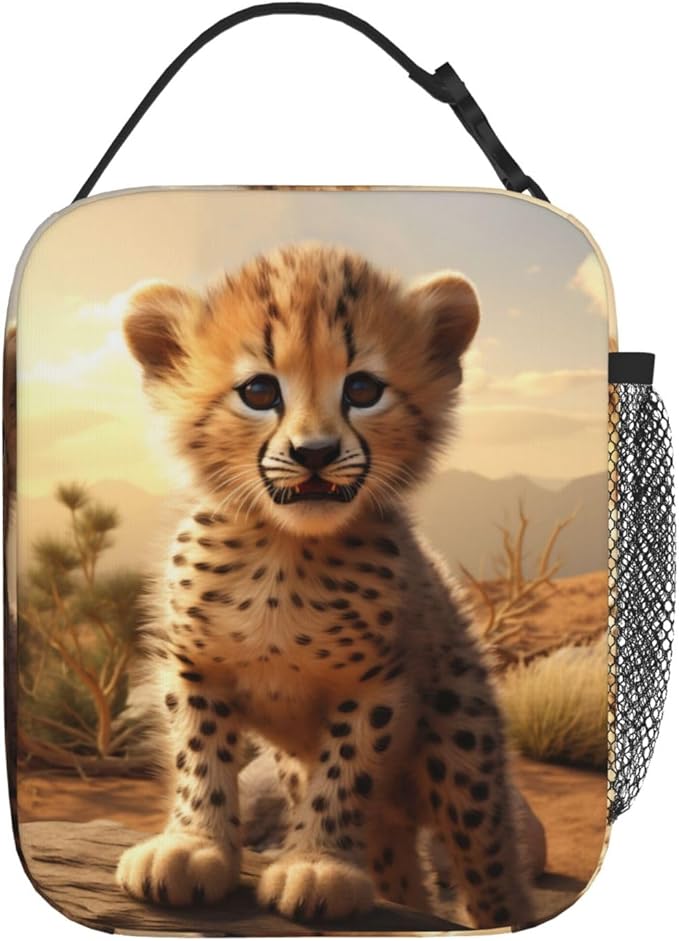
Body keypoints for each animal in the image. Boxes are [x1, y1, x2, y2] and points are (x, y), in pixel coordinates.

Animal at [115, 243, 534, 929]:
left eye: (362, 389)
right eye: (260, 391)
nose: (314, 452)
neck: (284, 555)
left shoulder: (376, 686)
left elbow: (344, 775)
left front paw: (318, 865)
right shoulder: (194, 667)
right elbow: (198, 757)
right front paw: (193, 847)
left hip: (463, 760)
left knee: (490, 872)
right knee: (404, 878)